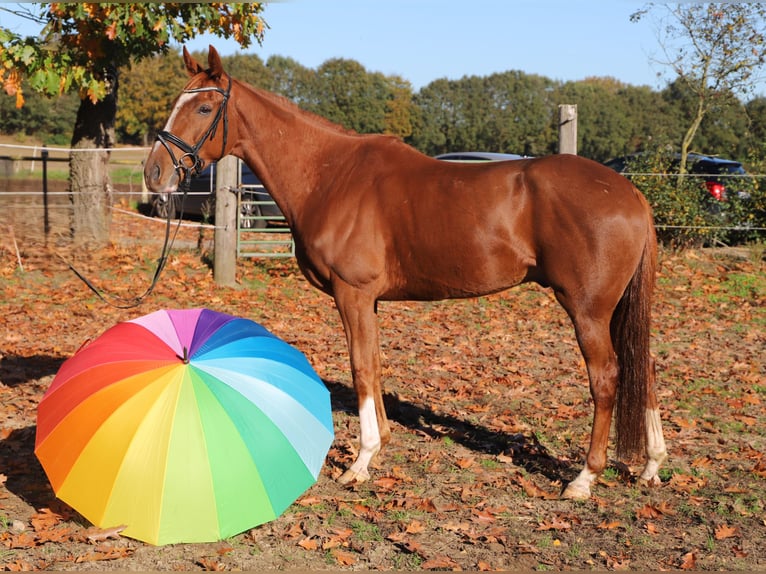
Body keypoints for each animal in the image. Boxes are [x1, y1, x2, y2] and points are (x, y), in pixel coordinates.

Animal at [144, 46, 667, 500]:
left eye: (205, 106)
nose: (154, 175)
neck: (330, 175)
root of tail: (629, 192)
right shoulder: (368, 300)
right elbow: (374, 364)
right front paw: (380, 446)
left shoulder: (352, 294)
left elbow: (360, 366)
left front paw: (360, 462)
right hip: (614, 309)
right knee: (643, 366)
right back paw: (651, 465)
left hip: (587, 308)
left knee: (607, 377)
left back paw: (584, 478)